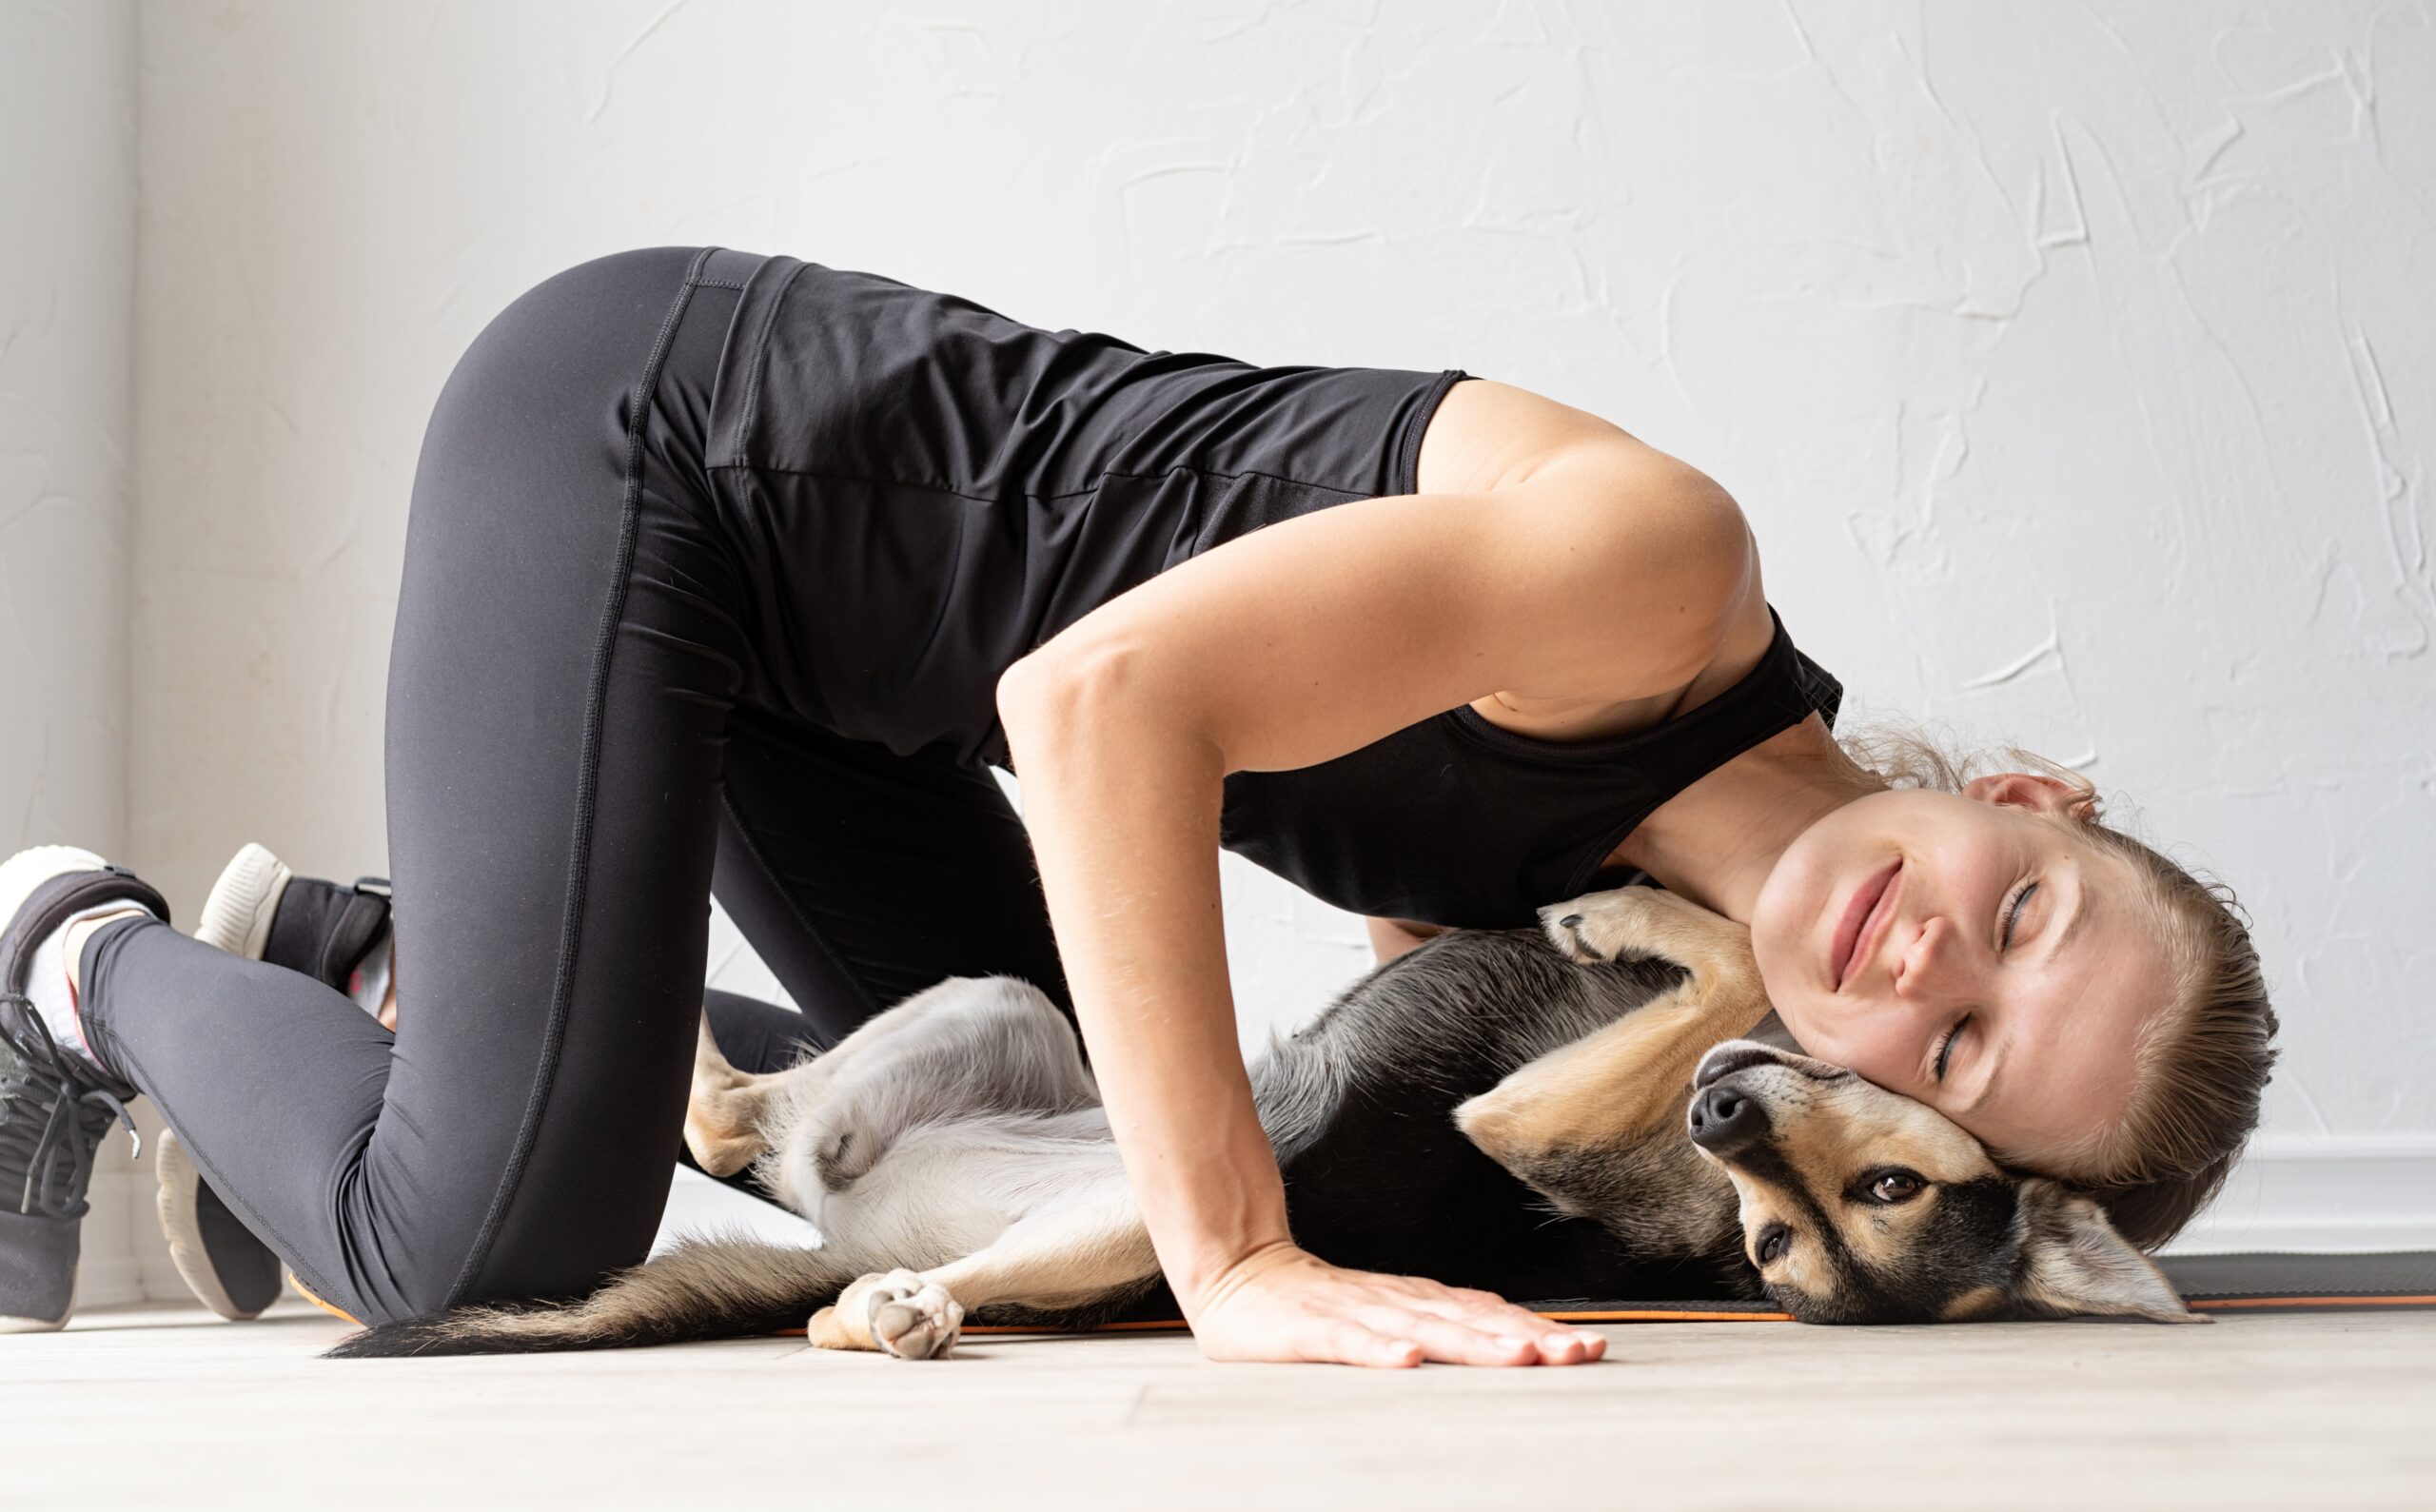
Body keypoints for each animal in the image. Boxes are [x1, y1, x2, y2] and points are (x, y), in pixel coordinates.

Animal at [333, 886, 2202, 1353]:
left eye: (1845, 1209)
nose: (1728, 1105)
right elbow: (1727, 939)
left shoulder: (1516, 1110)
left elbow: (1721, 946)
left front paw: (1625, 914)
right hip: (1027, 1037)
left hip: (1040, 1129)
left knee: (749, 1133)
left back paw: (886, 1299)